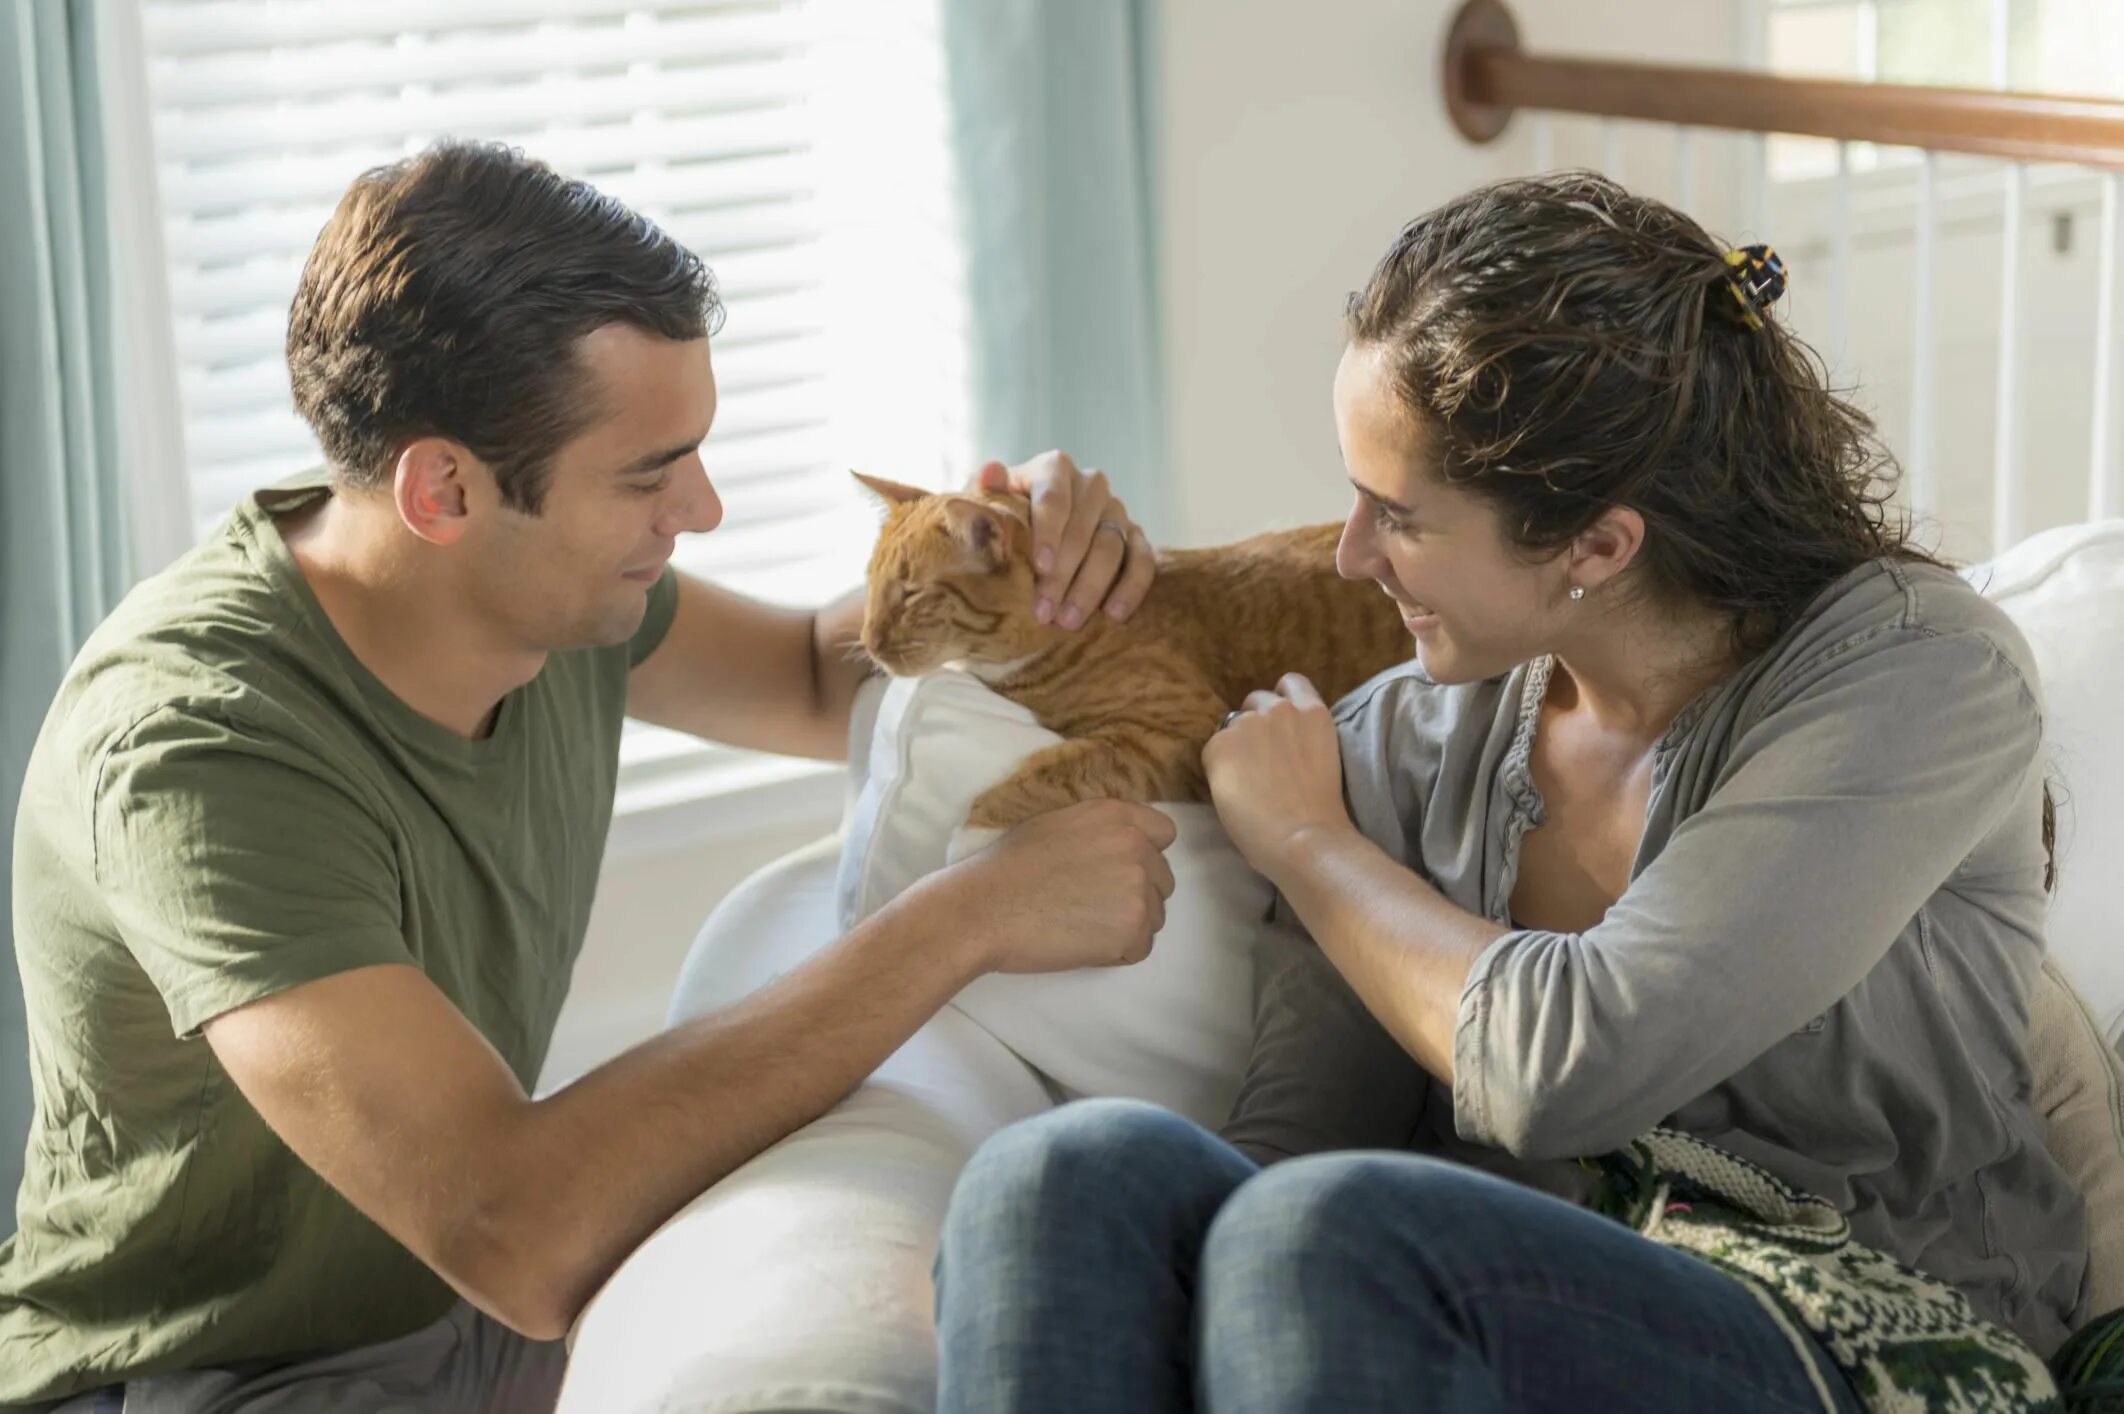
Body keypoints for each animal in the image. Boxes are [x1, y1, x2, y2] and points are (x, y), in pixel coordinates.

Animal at [845, 471, 1410, 828]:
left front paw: (970, 838)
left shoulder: (1186, 730)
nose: (868, 642)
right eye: (869, 585)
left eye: (911, 594)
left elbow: (1062, 768)